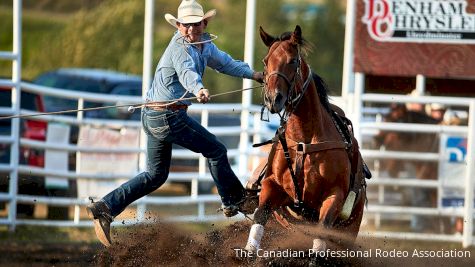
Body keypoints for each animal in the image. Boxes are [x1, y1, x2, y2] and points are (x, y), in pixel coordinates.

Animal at [245, 25, 368, 253]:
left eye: (293, 60)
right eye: (266, 61)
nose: (273, 99)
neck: (305, 141)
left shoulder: (334, 196)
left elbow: (321, 234)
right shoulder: (273, 186)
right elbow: (260, 215)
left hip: (349, 230)